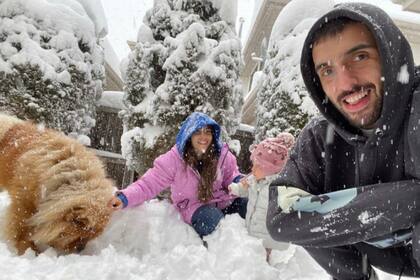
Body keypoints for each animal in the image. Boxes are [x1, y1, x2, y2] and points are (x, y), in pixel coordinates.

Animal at [0, 112, 115, 255]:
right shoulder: (23, 203)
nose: (80, 249)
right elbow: (21, 229)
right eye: (79, 235)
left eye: (90, 238)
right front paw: (29, 250)